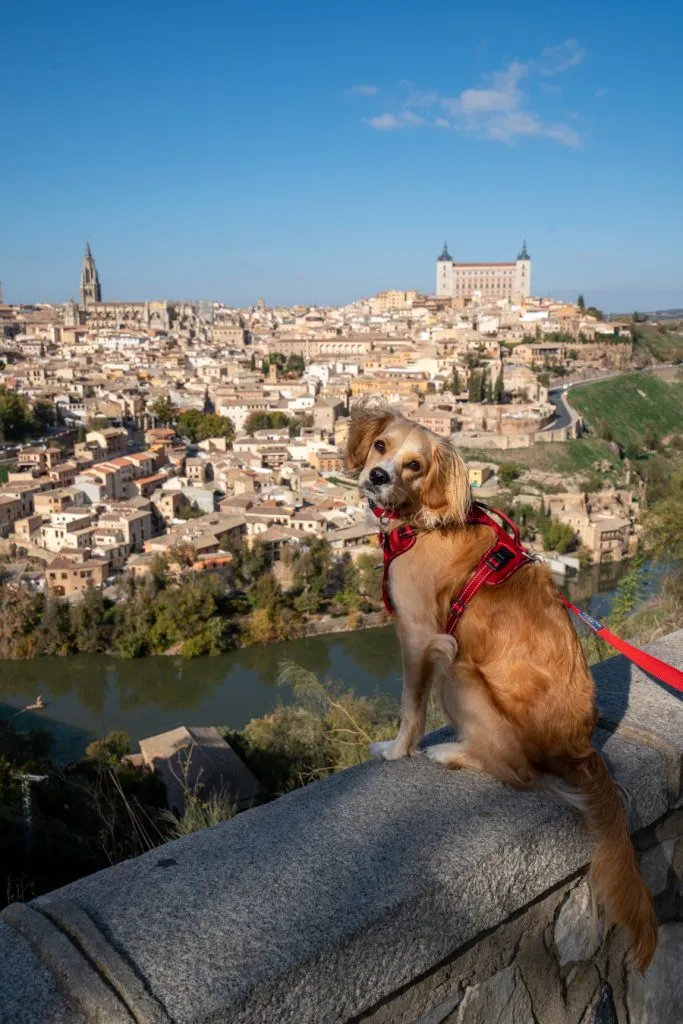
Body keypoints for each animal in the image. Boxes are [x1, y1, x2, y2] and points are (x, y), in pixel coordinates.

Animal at [344, 399, 659, 966]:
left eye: (414, 466)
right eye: (381, 446)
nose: (377, 476)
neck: (422, 521)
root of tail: (580, 749)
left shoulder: (419, 637)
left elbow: (409, 707)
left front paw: (397, 750)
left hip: (457, 669)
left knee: (517, 772)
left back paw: (452, 753)